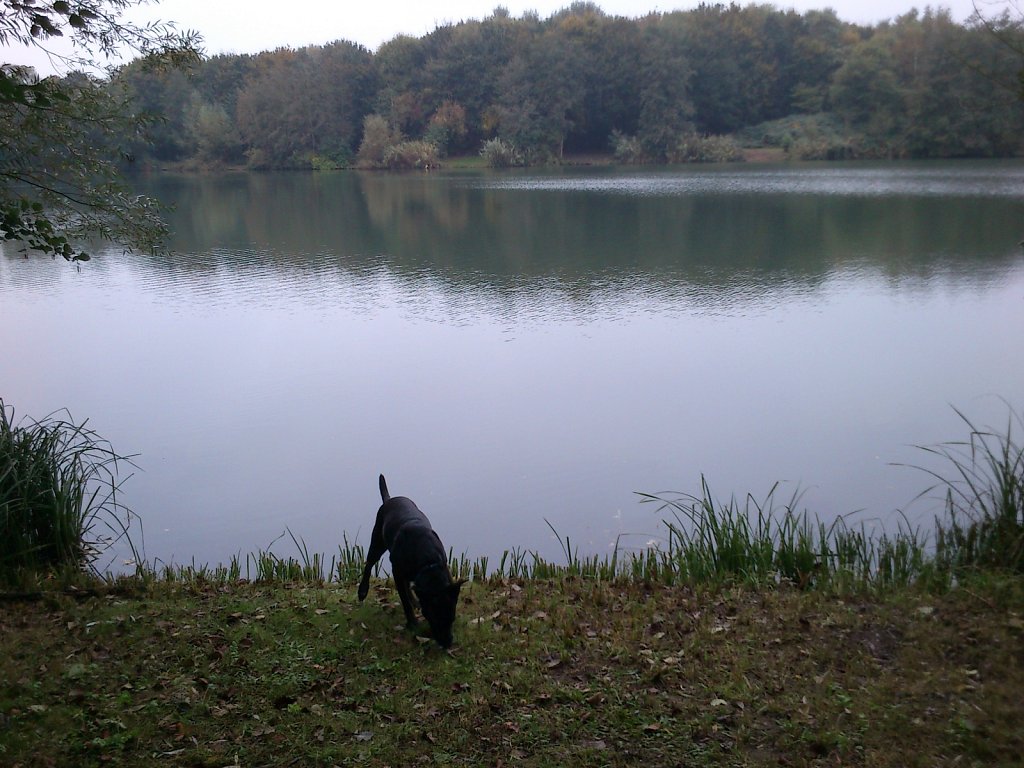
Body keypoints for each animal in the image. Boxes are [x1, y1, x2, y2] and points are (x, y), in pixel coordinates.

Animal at [354, 479, 462, 647]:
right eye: (433, 618)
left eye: (452, 618)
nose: (447, 643)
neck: (428, 561)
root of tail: (389, 499)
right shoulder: (397, 571)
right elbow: (404, 599)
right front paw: (412, 623)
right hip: (378, 541)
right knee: (370, 563)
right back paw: (363, 591)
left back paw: (414, 600)